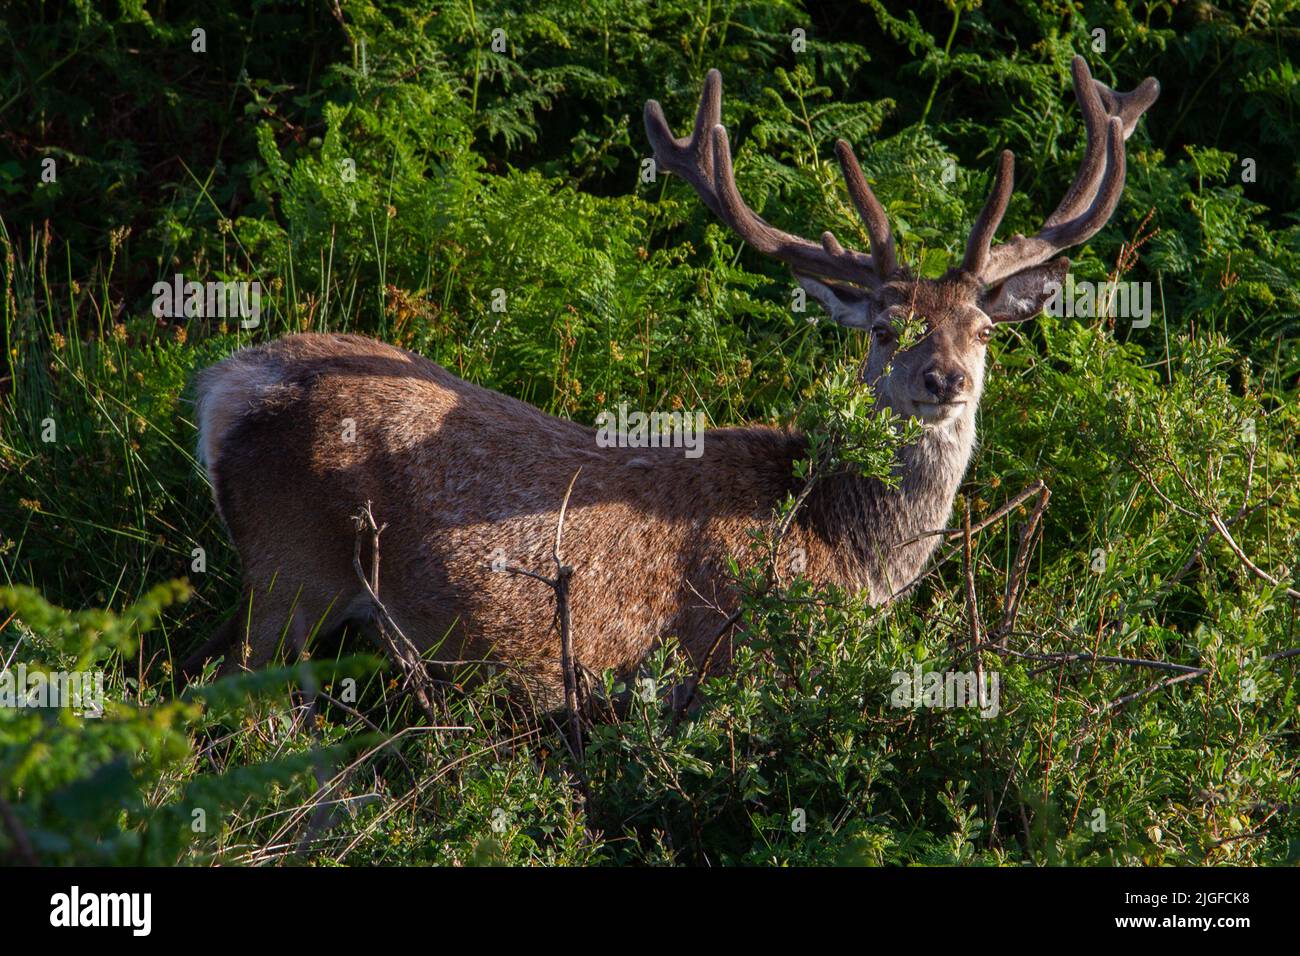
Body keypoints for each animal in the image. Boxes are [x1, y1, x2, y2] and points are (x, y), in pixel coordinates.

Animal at [185, 56, 1158, 706]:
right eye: (885, 329)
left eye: (985, 329)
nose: (944, 377)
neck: (844, 550)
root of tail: (228, 388)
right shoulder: (732, 655)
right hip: (292, 568)